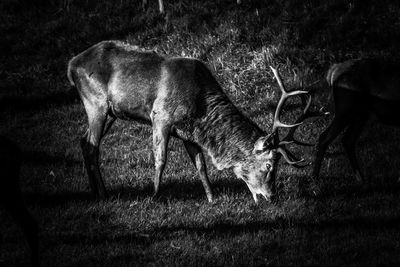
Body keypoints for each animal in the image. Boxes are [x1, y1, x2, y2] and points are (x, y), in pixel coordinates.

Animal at [68, 39, 318, 204]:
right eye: (269, 166)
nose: (271, 196)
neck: (200, 109)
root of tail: (71, 64)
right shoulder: (160, 116)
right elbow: (161, 159)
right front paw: (155, 196)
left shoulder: (189, 133)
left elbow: (201, 164)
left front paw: (211, 198)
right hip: (96, 103)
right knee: (92, 146)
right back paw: (103, 194)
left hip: (111, 112)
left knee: (83, 141)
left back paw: (93, 191)